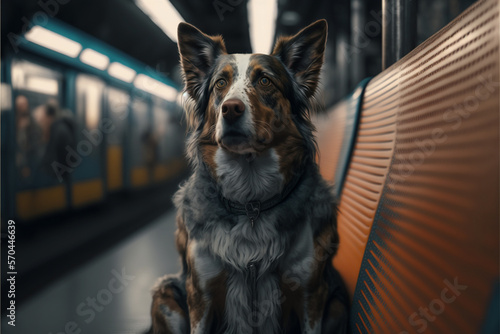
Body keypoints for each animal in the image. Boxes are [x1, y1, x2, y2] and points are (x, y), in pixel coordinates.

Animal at [149, 18, 348, 334]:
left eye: (265, 80)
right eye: (220, 83)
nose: (231, 108)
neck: (251, 202)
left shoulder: (310, 292)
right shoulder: (200, 292)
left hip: (339, 305)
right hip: (165, 293)